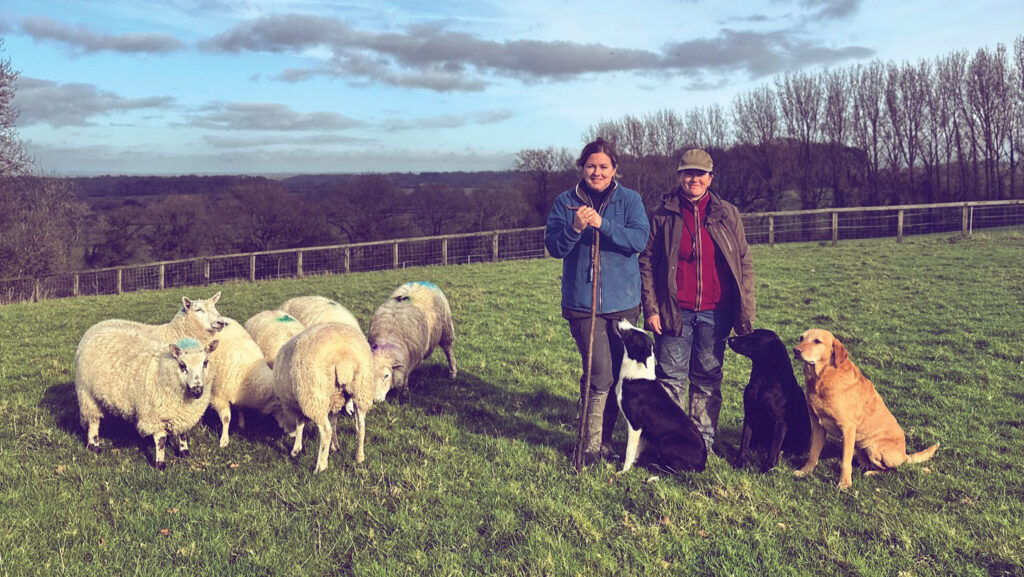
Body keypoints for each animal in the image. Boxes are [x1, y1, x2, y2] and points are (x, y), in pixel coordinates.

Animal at [75, 330, 220, 469]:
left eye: (205, 363)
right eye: (182, 365)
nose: (197, 390)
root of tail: (96, 332)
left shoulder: (184, 414)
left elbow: (183, 433)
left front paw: (184, 452)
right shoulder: (156, 416)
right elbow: (161, 441)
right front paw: (160, 464)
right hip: (87, 394)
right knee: (93, 421)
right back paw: (93, 445)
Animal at [205, 317, 288, 448]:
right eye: (283, 408)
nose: (289, 434)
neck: (248, 371)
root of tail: (223, 318)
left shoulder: (242, 395)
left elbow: (241, 409)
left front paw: (241, 423)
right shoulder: (218, 396)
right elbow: (226, 418)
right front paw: (224, 440)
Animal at [270, 323, 389, 471]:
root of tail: (344, 359)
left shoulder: (299, 403)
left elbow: (300, 424)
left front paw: (296, 449)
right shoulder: (334, 400)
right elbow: (333, 421)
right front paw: (335, 446)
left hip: (315, 394)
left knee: (326, 431)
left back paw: (320, 467)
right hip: (361, 389)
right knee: (360, 426)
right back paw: (359, 457)